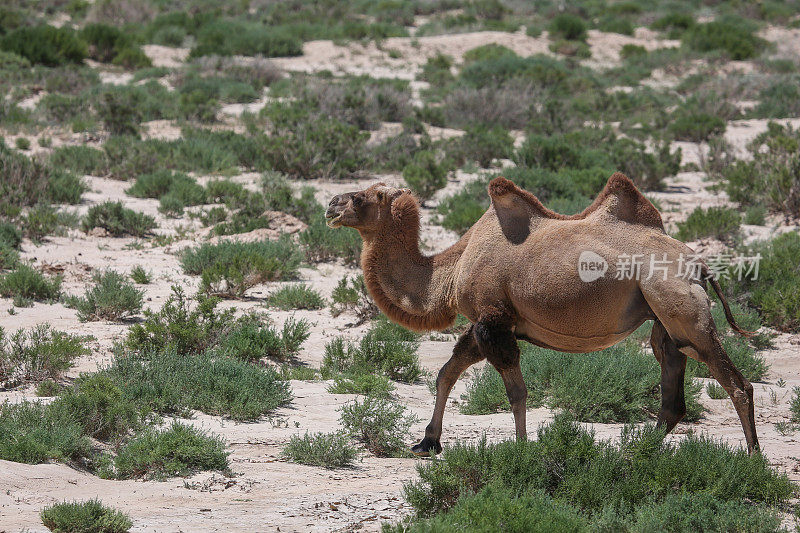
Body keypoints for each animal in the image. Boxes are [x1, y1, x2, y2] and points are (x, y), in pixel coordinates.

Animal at [324, 172, 756, 456]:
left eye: (364, 197)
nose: (331, 204)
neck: (453, 266)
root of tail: (699, 263)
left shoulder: (493, 319)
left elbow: (516, 392)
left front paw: (520, 450)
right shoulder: (488, 324)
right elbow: (446, 373)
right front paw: (427, 442)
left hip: (678, 302)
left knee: (736, 383)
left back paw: (752, 460)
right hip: (662, 318)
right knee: (672, 385)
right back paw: (635, 452)